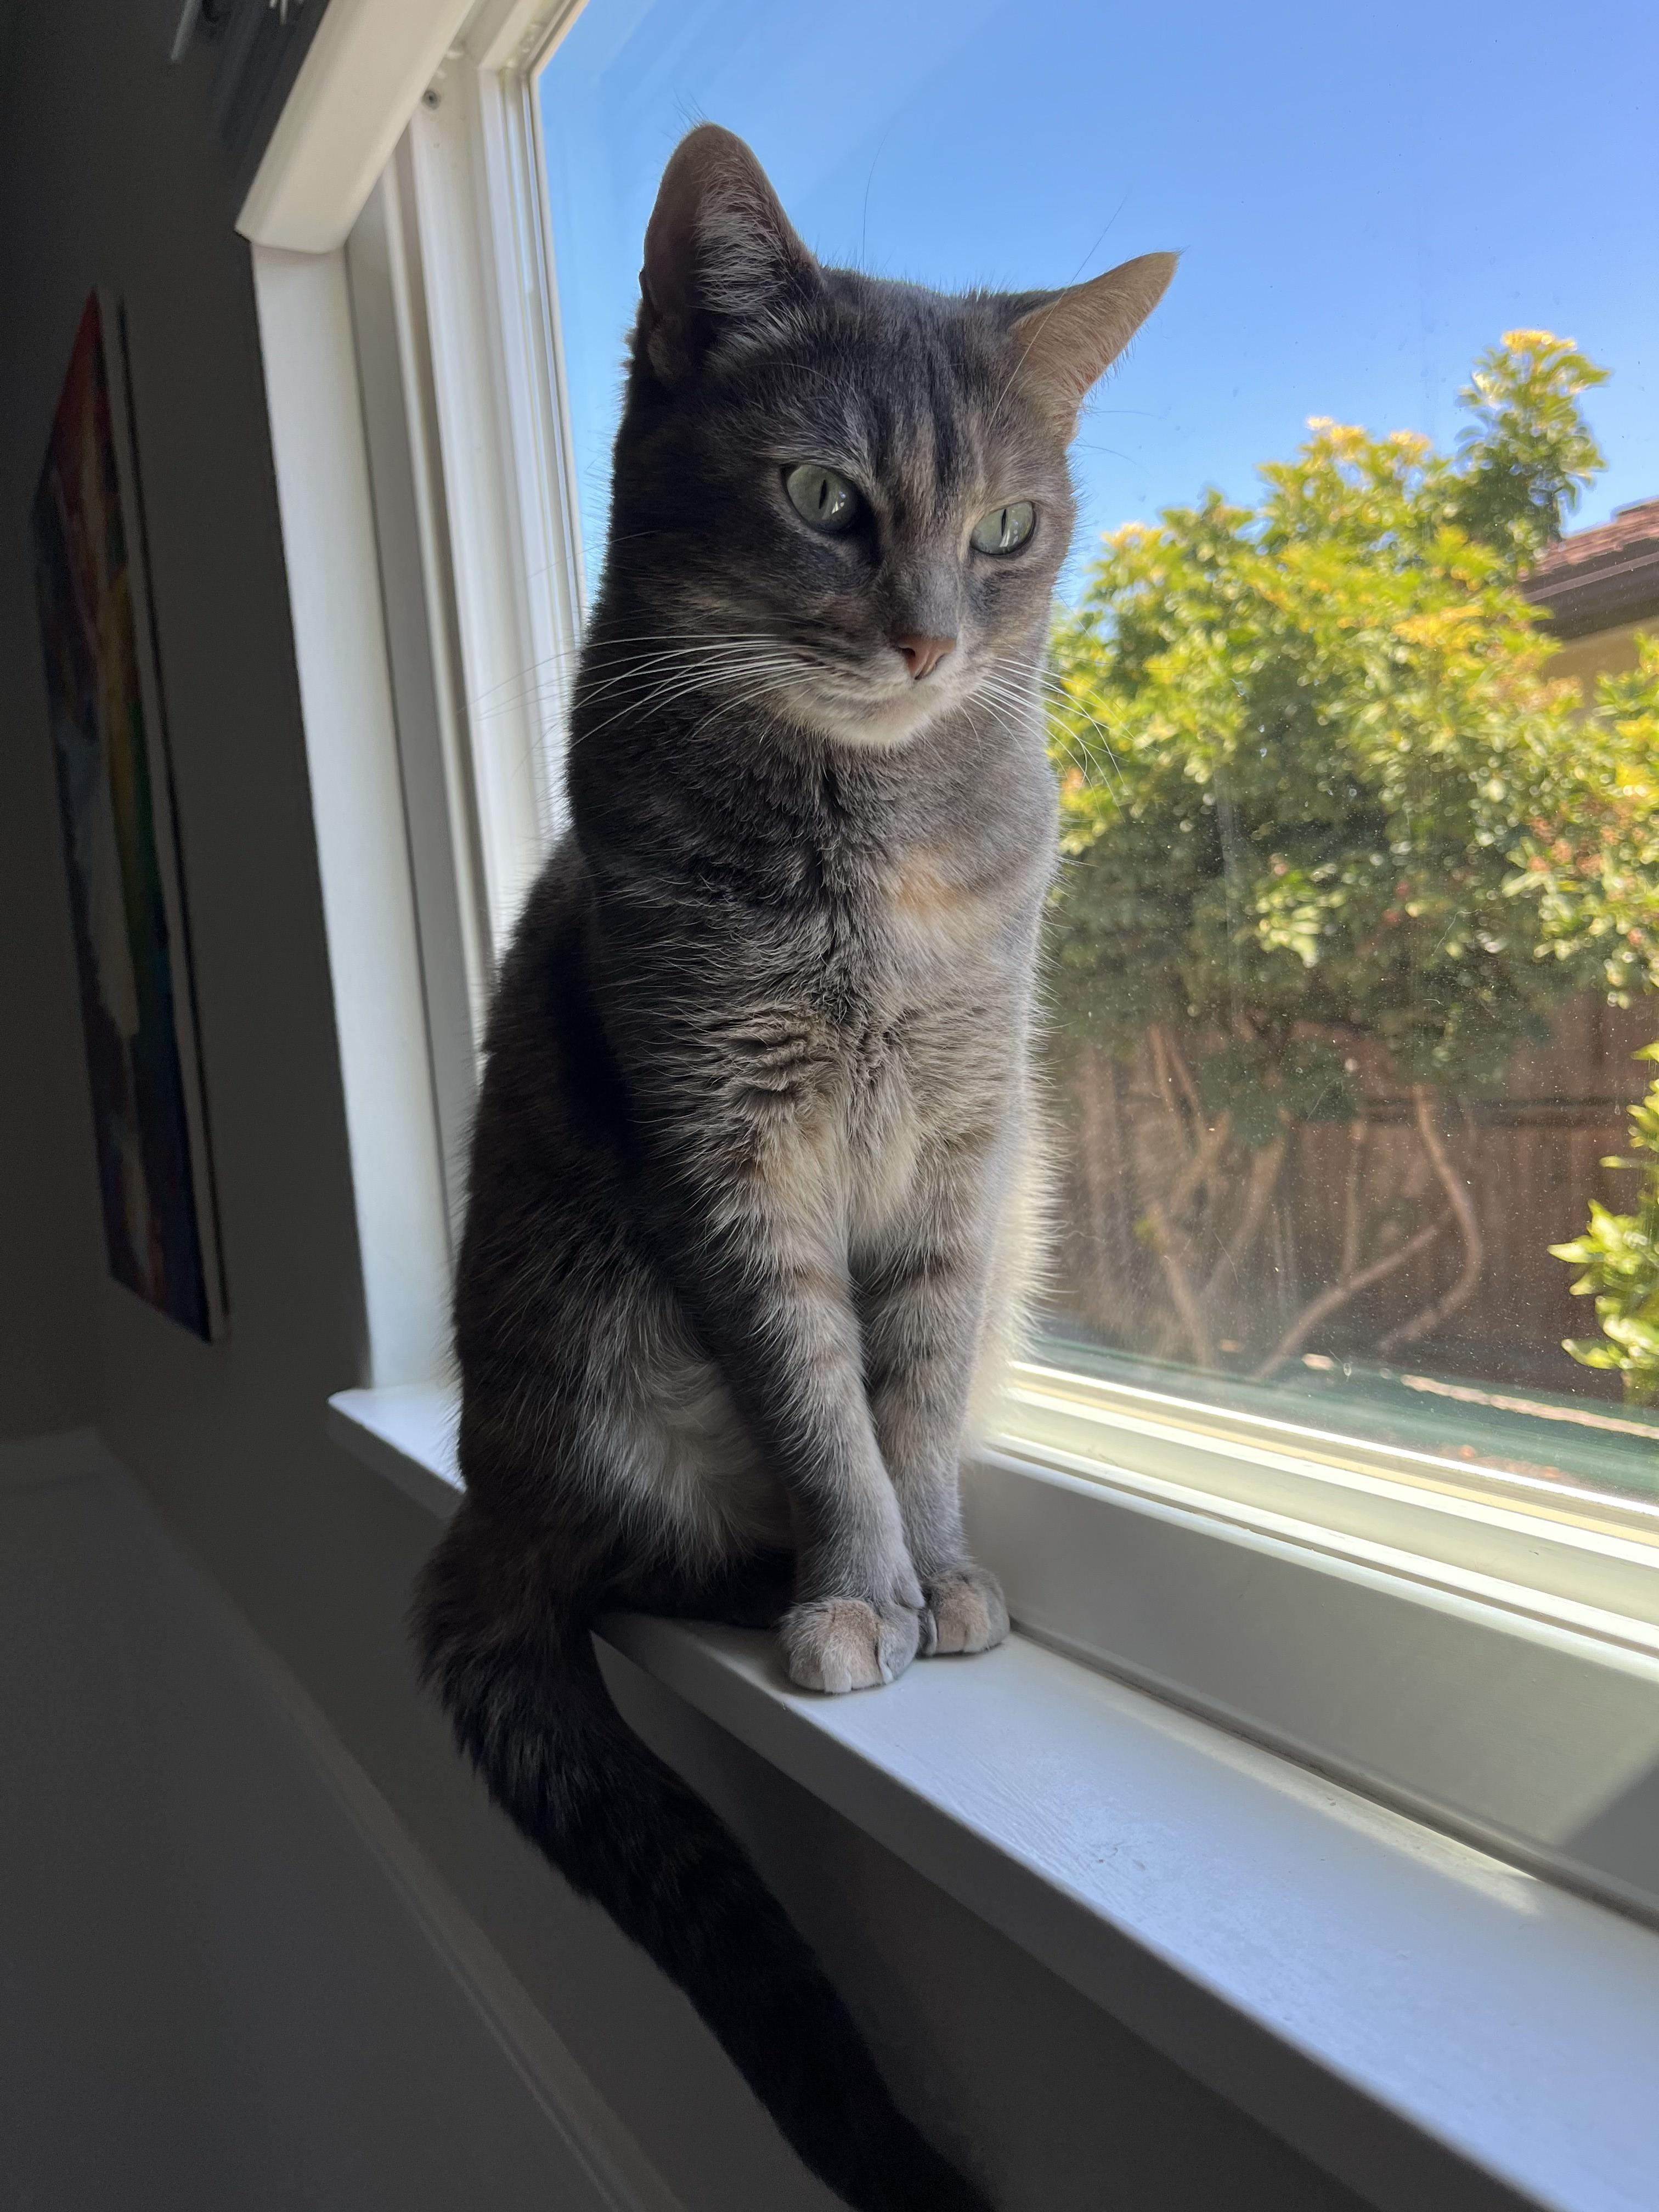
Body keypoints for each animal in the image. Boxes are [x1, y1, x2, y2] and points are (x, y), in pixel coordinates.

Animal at [415, 123, 1173, 2212]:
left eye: (1005, 529)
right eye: (827, 499)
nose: (927, 635)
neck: (872, 850)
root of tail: (489, 1504)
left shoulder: (965, 1160)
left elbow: (909, 1397)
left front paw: (936, 1570)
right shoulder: (727, 1151)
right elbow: (819, 1400)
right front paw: (860, 1590)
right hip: (600, 1361)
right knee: (654, 1558)